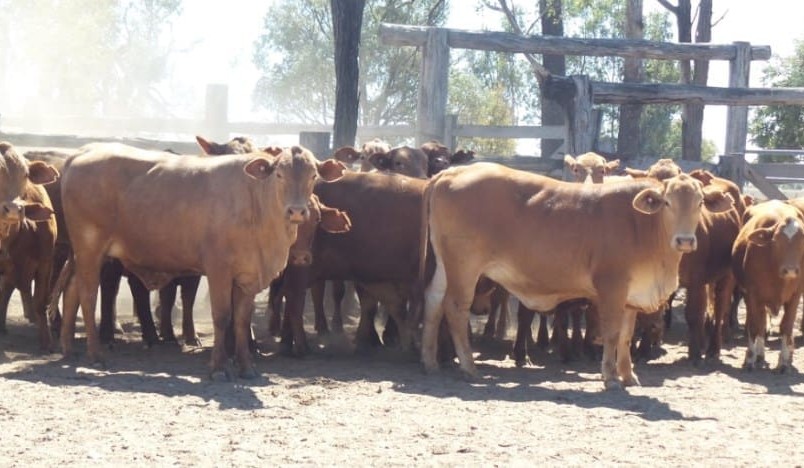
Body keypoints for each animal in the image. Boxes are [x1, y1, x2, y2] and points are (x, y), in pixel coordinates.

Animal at [58, 142, 345, 379]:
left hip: (80, 253)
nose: (296, 211)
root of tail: (81, 153)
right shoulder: (218, 269)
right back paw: (96, 355)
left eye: (313, 176)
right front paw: (218, 367)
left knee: (71, 291)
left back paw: (69, 349)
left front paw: (246, 367)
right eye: (279, 175)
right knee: (87, 295)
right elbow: (222, 316)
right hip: (90, 248)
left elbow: (242, 320)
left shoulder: (248, 275)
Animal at [420, 163, 733, 389]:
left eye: (700, 202)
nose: (685, 241)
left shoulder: (632, 295)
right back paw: (469, 366)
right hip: (464, 266)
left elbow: (626, 336)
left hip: (445, 266)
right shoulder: (612, 288)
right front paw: (610, 377)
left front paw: (628, 375)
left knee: (433, 301)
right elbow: (612, 333)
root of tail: (451, 172)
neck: (643, 225)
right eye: (667, 202)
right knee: (455, 308)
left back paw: (430, 360)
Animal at [732, 200, 804, 373]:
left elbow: (786, 327)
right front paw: (750, 359)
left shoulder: (796, 295)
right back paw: (758, 355)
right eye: (776, 241)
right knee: (760, 324)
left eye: (803, 241)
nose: (790, 269)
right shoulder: (752, 294)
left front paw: (783, 362)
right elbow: (755, 326)